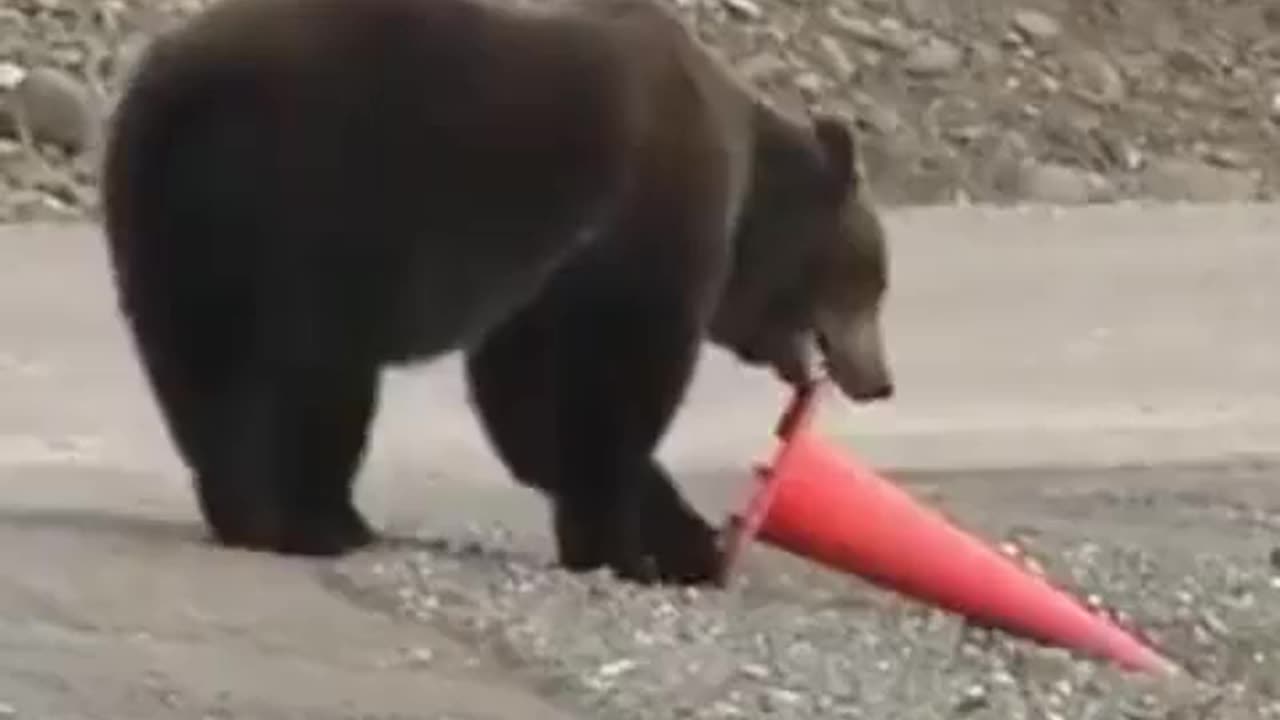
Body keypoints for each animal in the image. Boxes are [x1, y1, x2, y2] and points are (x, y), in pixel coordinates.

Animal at [99, 0, 896, 584]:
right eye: (874, 283)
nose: (881, 380)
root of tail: (169, 84)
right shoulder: (645, 218)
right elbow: (616, 384)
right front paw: (635, 548)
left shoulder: (551, 276)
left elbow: (530, 403)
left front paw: (678, 539)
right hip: (304, 203)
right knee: (300, 373)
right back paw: (301, 522)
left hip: (165, 224)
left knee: (203, 366)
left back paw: (278, 511)